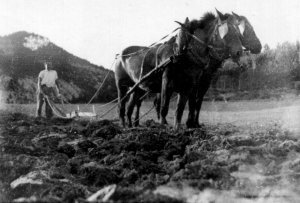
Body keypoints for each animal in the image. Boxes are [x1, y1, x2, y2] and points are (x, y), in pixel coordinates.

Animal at [115, 9, 244, 128]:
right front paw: (164, 125)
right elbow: (164, 107)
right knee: (122, 104)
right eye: (229, 31)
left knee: (131, 106)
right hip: (121, 86)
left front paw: (185, 127)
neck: (184, 53)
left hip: (137, 87)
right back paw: (123, 125)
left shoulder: (192, 84)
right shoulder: (167, 80)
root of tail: (120, 55)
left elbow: (183, 108)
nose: (239, 52)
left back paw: (131, 125)